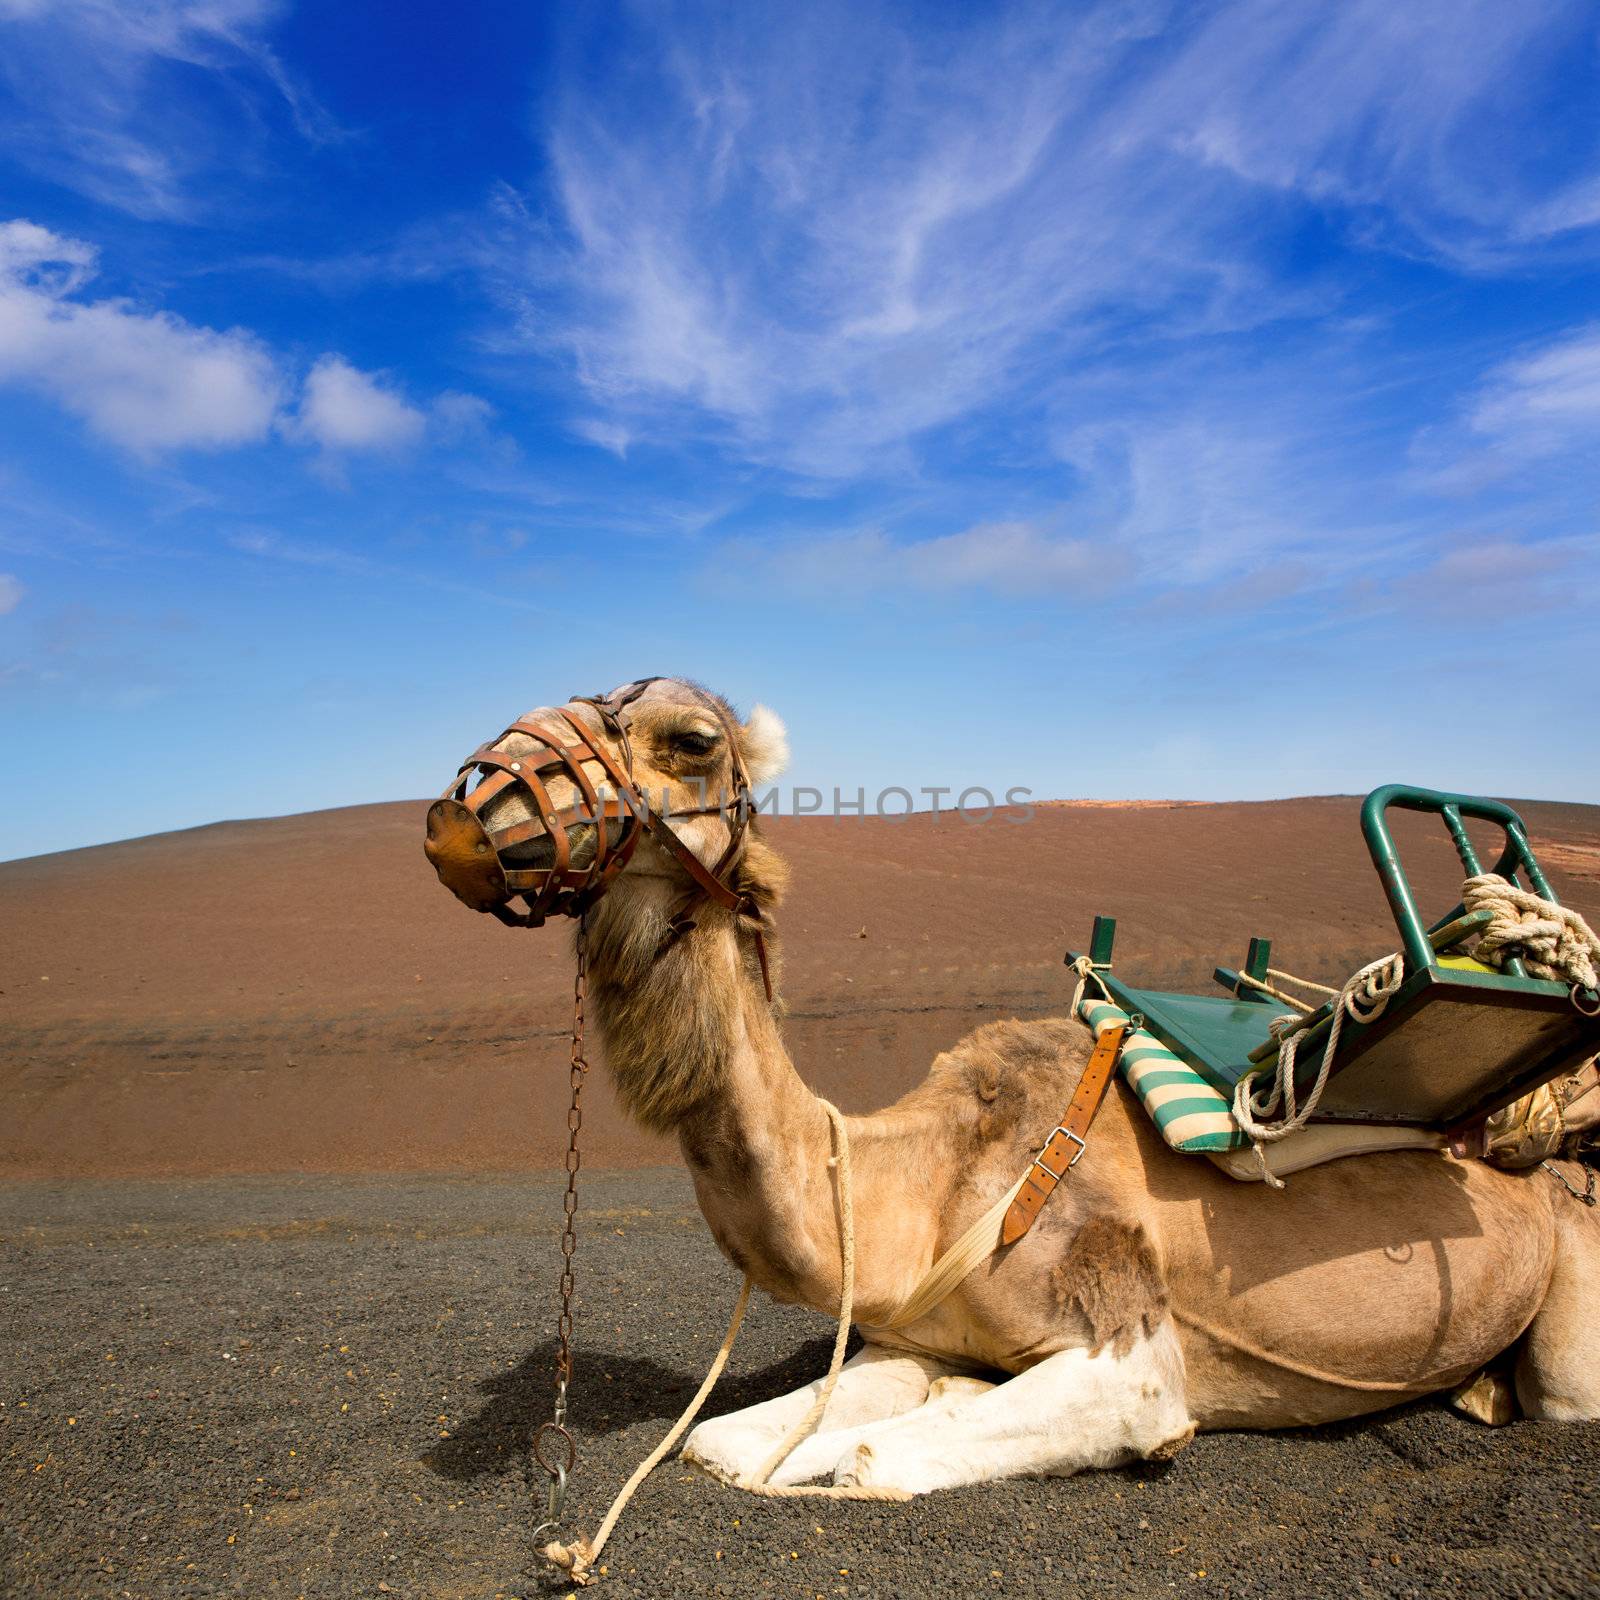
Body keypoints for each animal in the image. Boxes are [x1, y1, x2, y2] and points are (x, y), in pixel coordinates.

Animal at [425, 678, 1600, 1497]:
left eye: (690, 741)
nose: (464, 815)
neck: (930, 1180)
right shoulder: (902, 1330)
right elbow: (721, 1442)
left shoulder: (1134, 1363)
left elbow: (870, 1457)